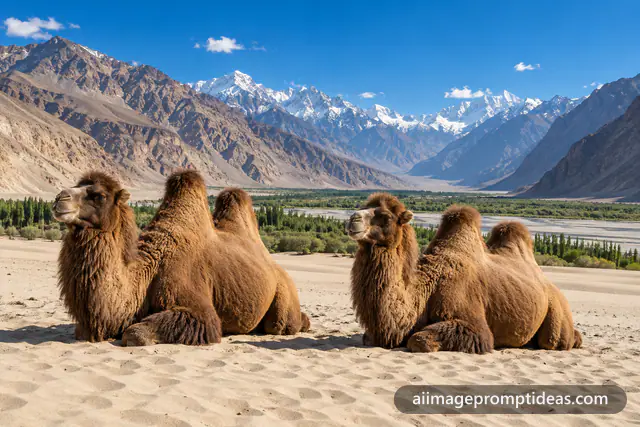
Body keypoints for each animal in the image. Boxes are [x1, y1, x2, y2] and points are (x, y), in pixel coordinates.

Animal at [54, 170, 309, 346]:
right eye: (77, 186)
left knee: (281, 325)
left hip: (283, 297)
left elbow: (134, 333)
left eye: (98, 195)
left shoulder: (198, 308)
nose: (59, 198)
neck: (146, 274)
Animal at [346, 193, 582, 353]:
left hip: (556, 313)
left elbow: (418, 340)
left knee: (554, 341)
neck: (426, 290)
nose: (353, 219)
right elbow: (368, 337)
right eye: (364, 207)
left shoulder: (473, 323)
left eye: (385, 216)